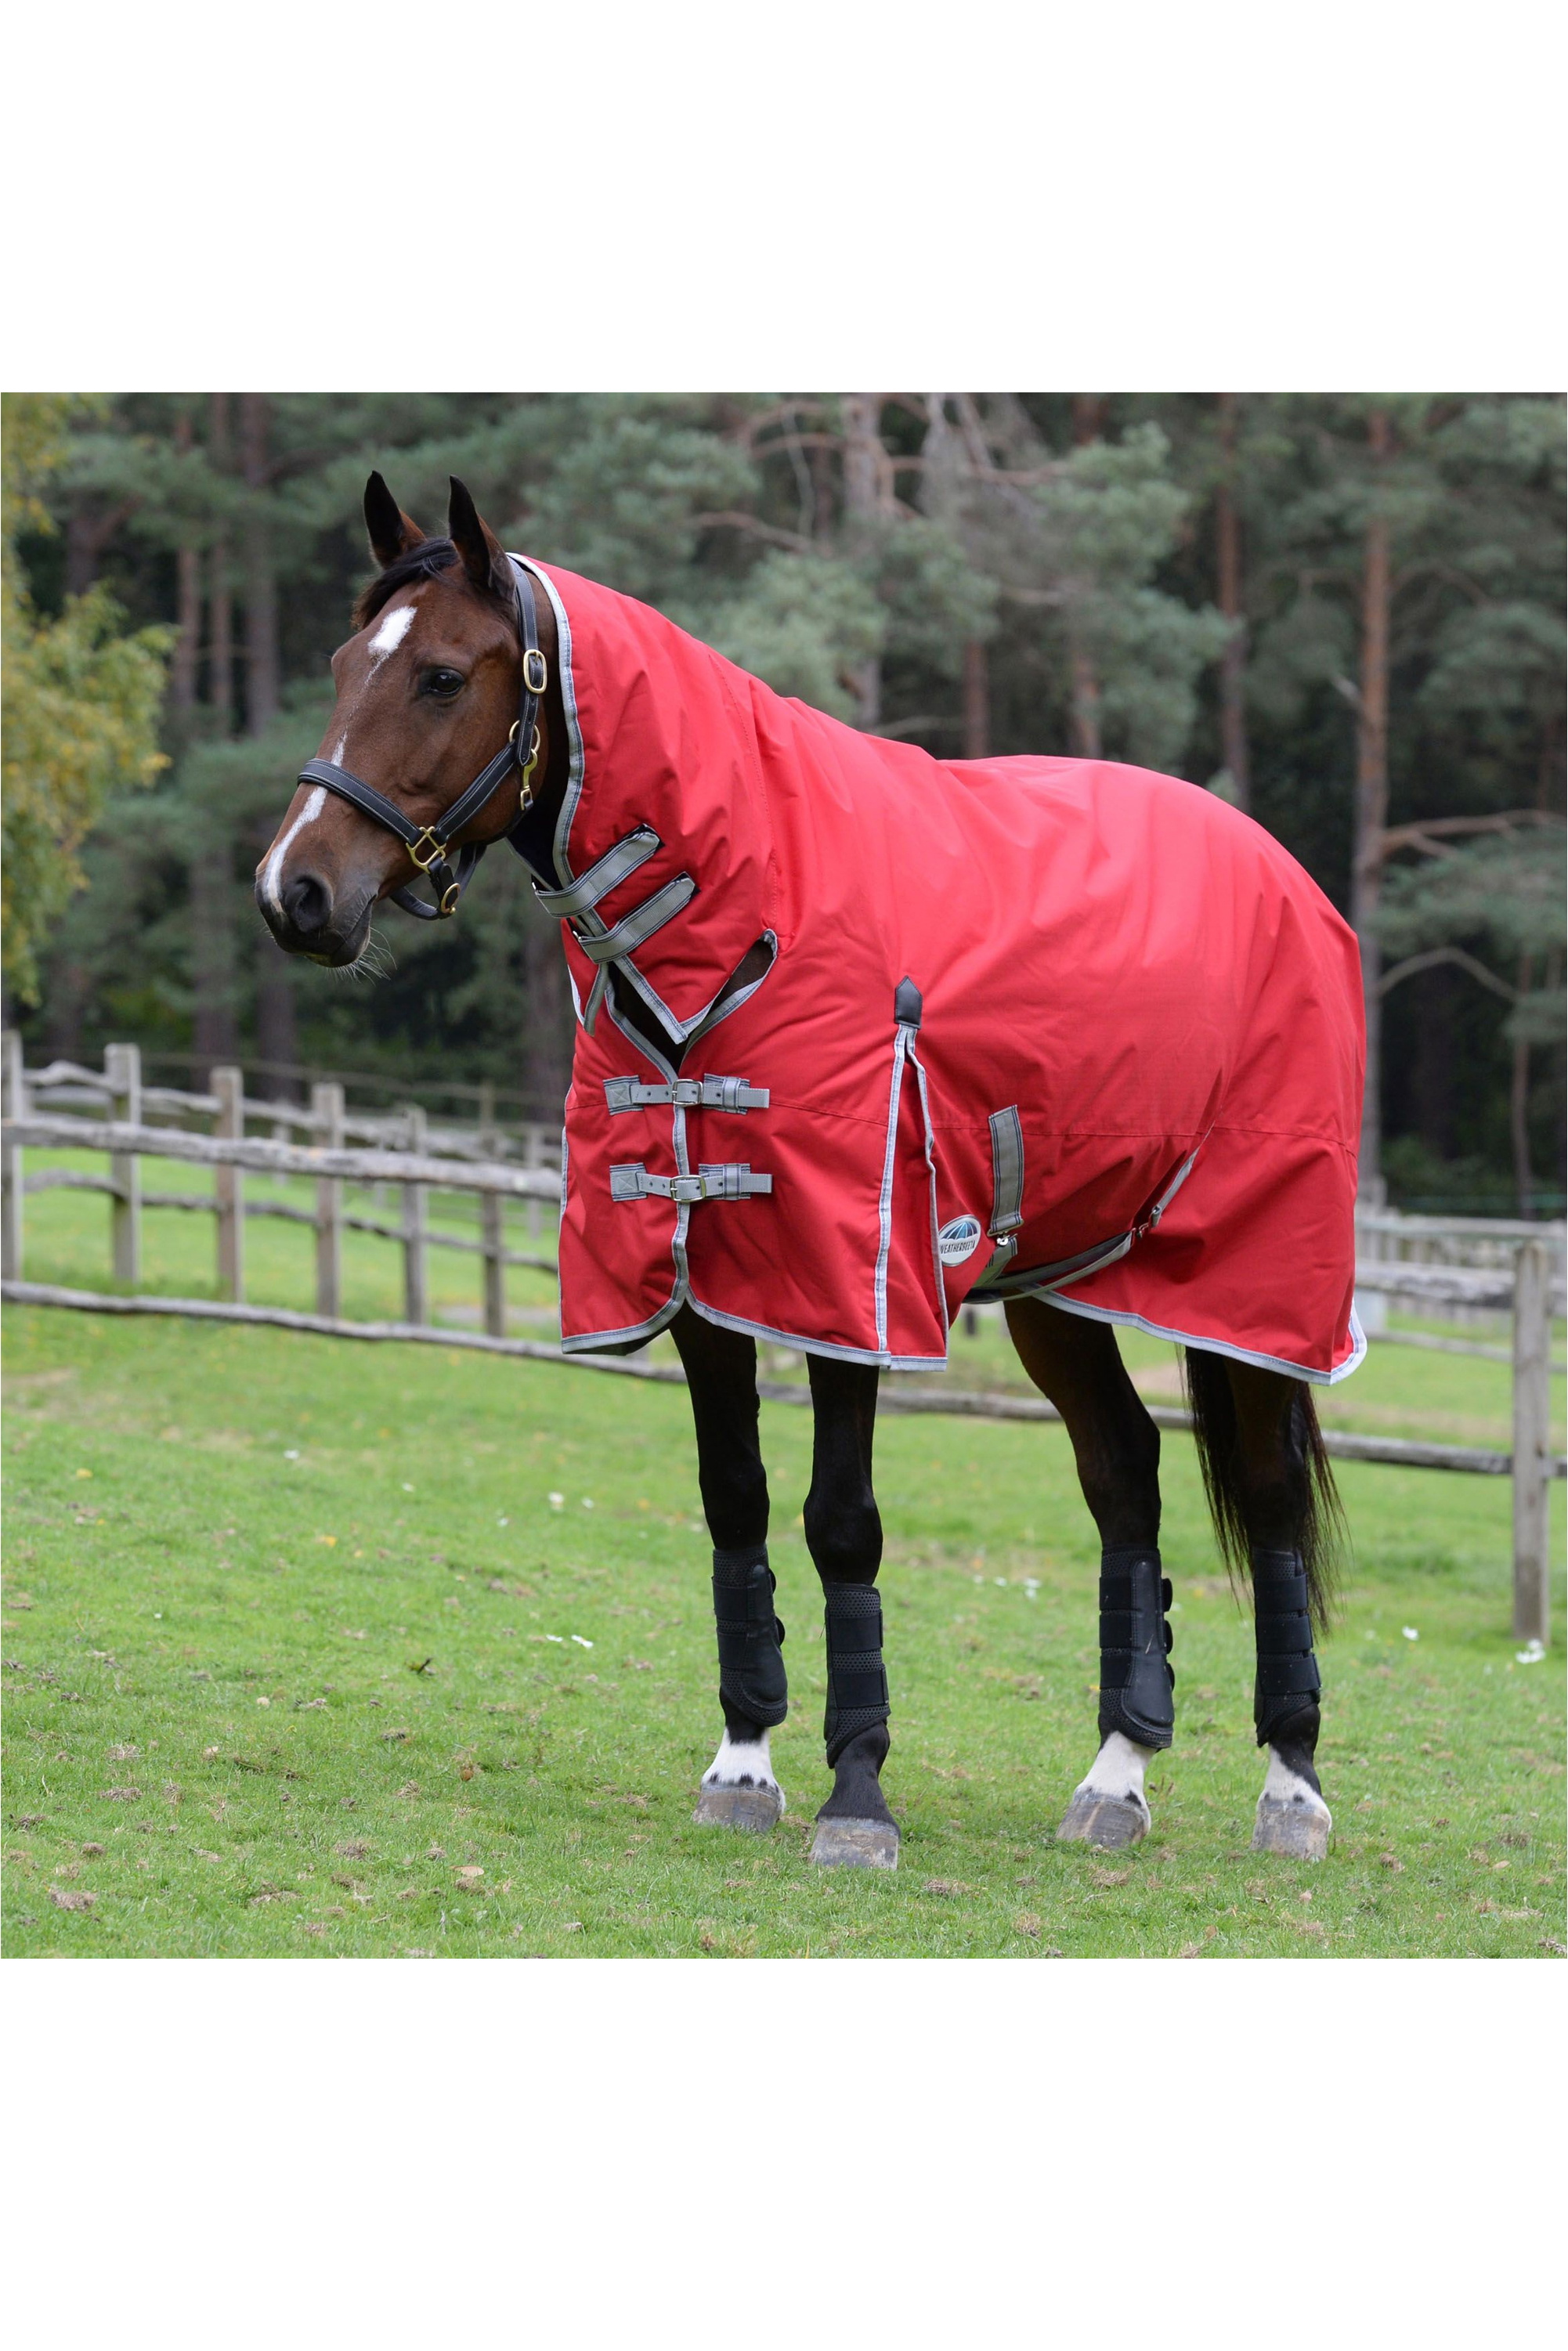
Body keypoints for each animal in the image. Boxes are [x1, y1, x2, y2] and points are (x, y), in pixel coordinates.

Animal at [256, 472, 1361, 1870]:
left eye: (445, 676)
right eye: (346, 664)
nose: (294, 891)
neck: (743, 895)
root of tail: (1284, 876)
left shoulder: (848, 1280)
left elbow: (842, 1520)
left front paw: (856, 1795)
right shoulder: (699, 1278)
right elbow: (735, 1500)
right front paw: (743, 1764)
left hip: (1247, 1285)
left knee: (1265, 1502)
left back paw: (1291, 1789)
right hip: (1057, 1284)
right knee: (1125, 1480)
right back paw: (1115, 1776)